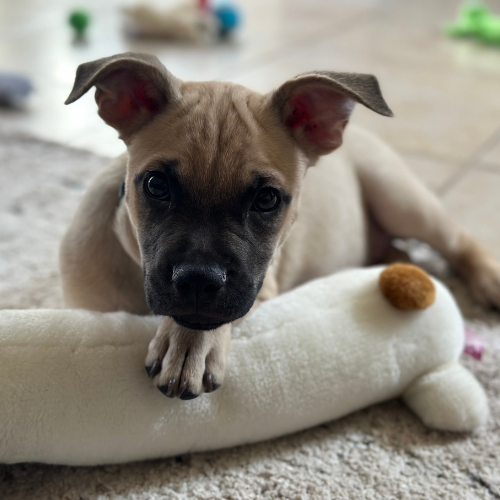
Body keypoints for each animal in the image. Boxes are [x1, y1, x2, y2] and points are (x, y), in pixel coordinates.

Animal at [60, 52, 500, 400]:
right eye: (156, 185)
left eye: (267, 200)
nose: (199, 281)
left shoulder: (259, 289)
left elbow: (207, 319)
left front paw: (187, 346)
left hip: (401, 199)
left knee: (459, 239)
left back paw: (489, 280)